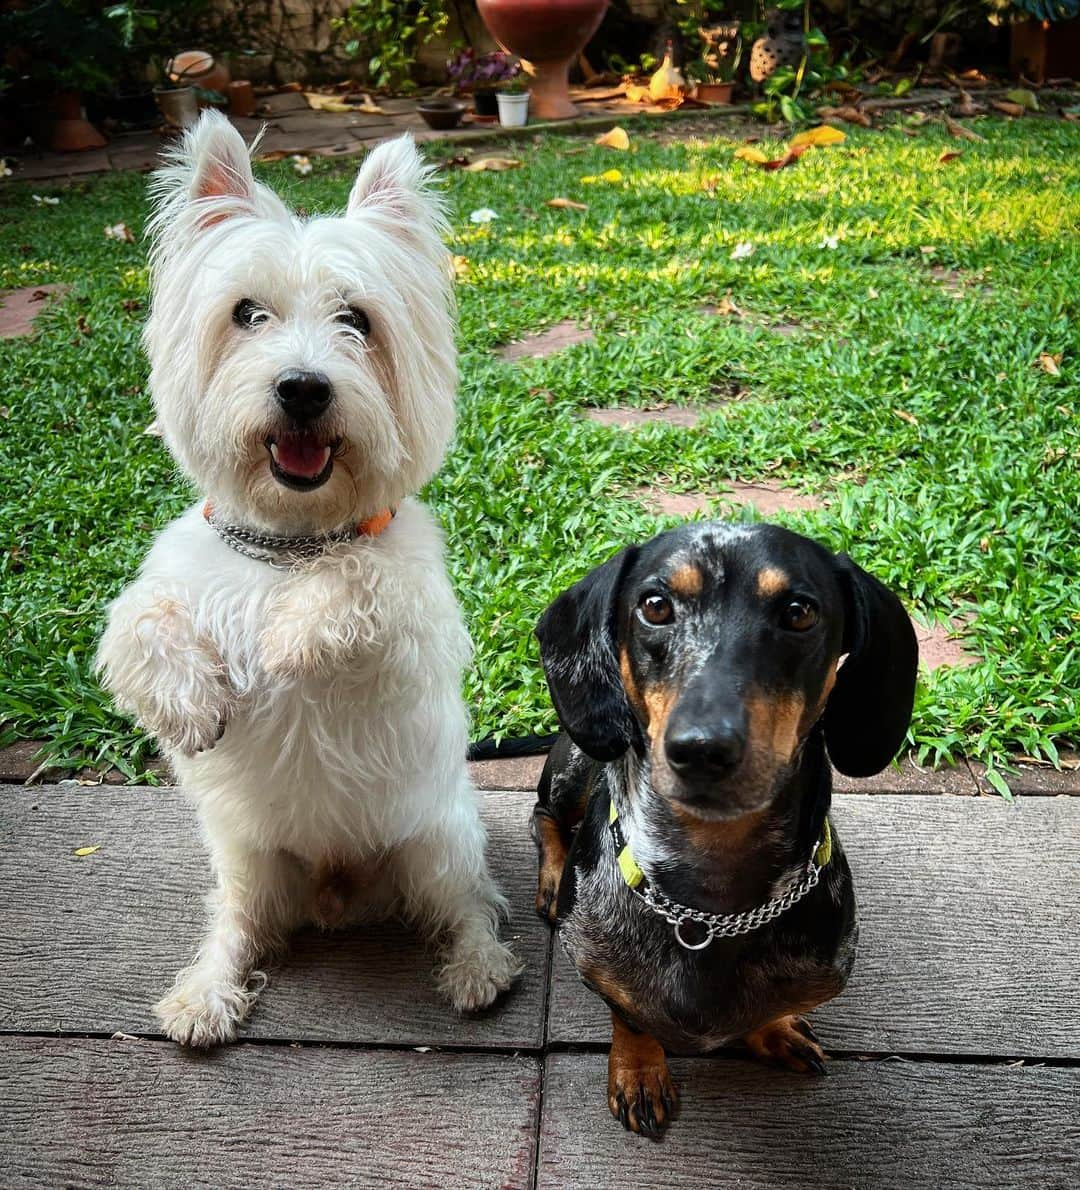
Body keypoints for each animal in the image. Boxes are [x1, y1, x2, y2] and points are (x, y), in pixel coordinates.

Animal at [96, 109, 523, 1042]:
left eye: (357, 318)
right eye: (245, 314)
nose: (302, 388)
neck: (287, 545)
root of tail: (338, 885)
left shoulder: (412, 616)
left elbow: (361, 579)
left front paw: (289, 642)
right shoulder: (173, 583)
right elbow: (137, 623)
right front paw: (191, 701)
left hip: (436, 835)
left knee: (465, 903)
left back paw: (478, 968)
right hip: (250, 855)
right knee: (241, 922)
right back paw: (206, 992)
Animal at [530, 518, 918, 1132]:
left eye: (799, 612)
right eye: (655, 606)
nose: (702, 749)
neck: (709, 907)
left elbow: (770, 1009)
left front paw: (774, 1031)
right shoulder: (597, 965)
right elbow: (629, 1016)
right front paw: (640, 1072)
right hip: (573, 767)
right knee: (543, 815)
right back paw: (550, 876)